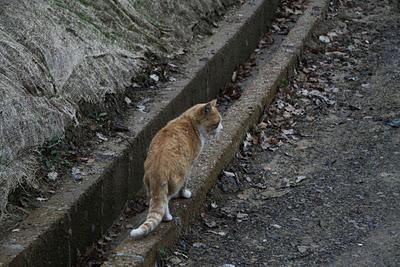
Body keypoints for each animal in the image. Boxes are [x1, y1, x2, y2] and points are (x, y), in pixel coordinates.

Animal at [130, 100, 222, 239]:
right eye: (217, 123)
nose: (222, 128)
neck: (189, 120)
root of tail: (158, 172)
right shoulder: (190, 165)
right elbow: (185, 186)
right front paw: (185, 194)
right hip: (178, 178)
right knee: (165, 201)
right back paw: (167, 217)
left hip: (148, 185)